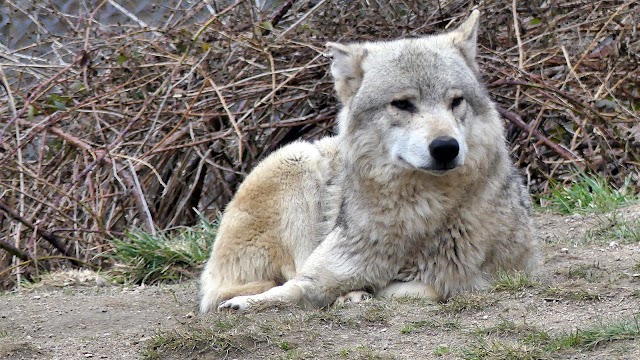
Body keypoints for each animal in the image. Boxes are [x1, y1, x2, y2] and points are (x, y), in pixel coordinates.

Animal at [198, 9, 536, 314]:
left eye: (456, 102)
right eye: (402, 104)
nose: (445, 147)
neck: (421, 214)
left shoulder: (492, 278)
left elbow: (428, 288)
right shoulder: (320, 273)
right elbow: (295, 288)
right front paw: (245, 304)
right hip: (297, 158)